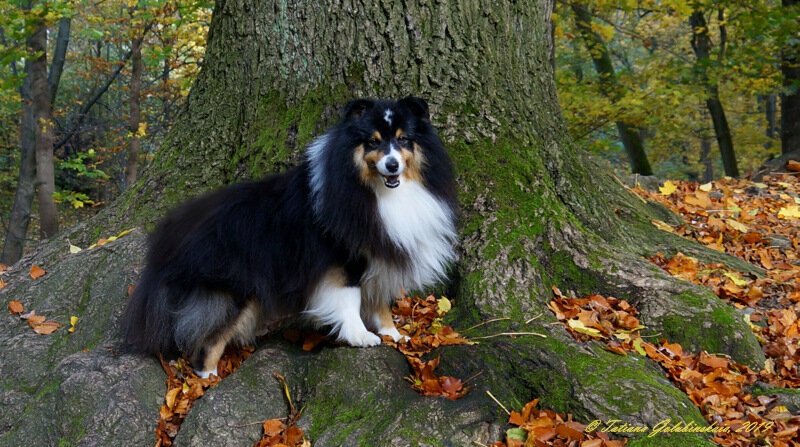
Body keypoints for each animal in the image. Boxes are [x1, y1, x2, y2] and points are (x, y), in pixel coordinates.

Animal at [120, 97, 456, 378]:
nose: (392, 165)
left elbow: (380, 300)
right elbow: (350, 298)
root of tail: (170, 236)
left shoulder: (380, 252)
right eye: (372, 141)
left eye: (403, 139)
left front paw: (393, 334)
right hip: (234, 290)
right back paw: (208, 380)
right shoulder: (343, 257)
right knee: (206, 344)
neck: (373, 190)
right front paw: (360, 336)